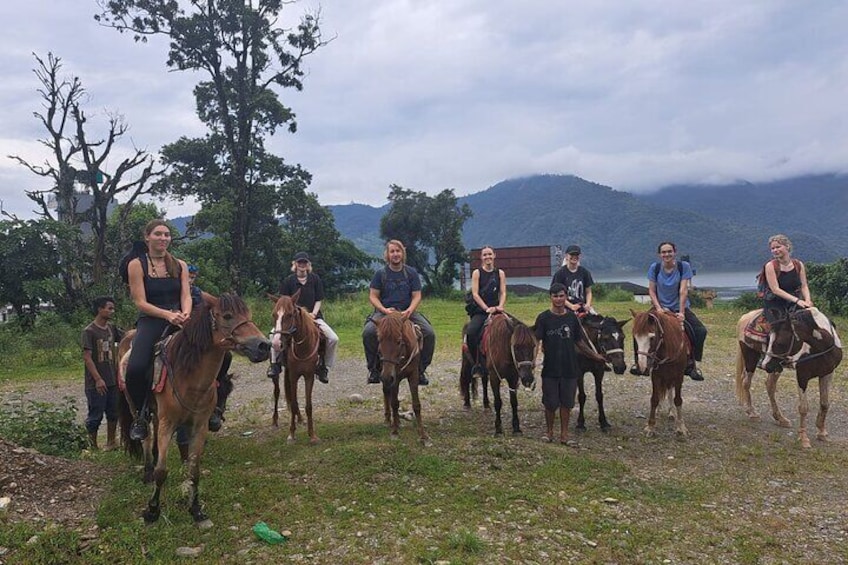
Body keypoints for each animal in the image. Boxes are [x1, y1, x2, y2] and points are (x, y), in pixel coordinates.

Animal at [118, 294, 268, 528]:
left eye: (248, 314)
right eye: (227, 316)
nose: (264, 345)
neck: (189, 377)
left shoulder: (199, 426)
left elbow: (194, 470)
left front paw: (196, 509)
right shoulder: (169, 423)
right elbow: (162, 471)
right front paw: (152, 510)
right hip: (134, 404)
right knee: (145, 435)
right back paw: (147, 469)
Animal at [272, 290, 324, 446]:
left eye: (290, 314)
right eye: (274, 315)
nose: (276, 343)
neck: (303, 347)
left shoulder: (309, 376)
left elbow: (308, 405)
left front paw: (312, 435)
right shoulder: (294, 376)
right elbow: (294, 404)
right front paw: (291, 434)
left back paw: (300, 419)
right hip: (278, 375)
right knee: (277, 392)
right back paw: (275, 420)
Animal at [376, 312, 430, 446]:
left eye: (399, 341)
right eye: (379, 340)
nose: (386, 377)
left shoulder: (413, 375)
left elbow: (416, 404)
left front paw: (423, 436)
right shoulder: (394, 378)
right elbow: (394, 403)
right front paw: (395, 432)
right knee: (386, 393)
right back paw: (388, 420)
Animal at [628, 308, 688, 436]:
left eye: (651, 337)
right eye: (635, 337)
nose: (642, 368)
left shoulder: (679, 376)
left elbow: (678, 400)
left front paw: (681, 427)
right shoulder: (656, 376)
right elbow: (654, 398)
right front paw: (651, 426)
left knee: (670, 390)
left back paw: (671, 412)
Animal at [736, 306, 840, 448]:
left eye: (780, 343)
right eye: (770, 340)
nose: (764, 365)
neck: (822, 348)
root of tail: (745, 317)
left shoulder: (827, 373)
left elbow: (824, 404)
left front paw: (822, 433)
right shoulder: (802, 376)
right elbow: (803, 407)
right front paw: (803, 438)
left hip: (776, 367)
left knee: (770, 386)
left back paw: (780, 418)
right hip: (751, 357)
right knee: (746, 382)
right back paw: (752, 413)